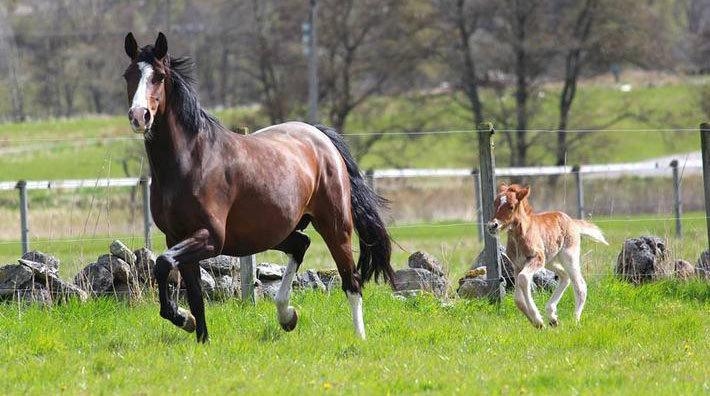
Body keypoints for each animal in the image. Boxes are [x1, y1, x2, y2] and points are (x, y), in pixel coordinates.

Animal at [123, 32, 394, 342]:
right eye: (128, 75)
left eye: (158, 76)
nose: (139, 116)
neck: (192, 161)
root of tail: (320, 137)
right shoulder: (176, 237)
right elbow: (193, 295)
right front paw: (198, 333)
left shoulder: (211, 238)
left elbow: (163, 264)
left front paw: (183, 319)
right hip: (272, 231)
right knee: (301, 245)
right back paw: (287, 315)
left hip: (335, 226)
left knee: (352, 280)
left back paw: (359, 338)